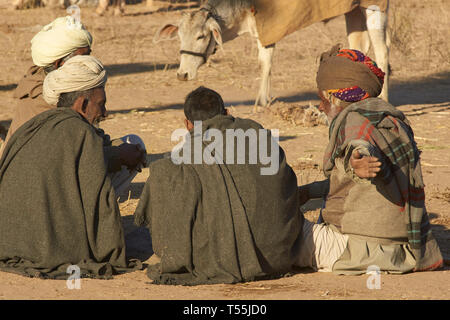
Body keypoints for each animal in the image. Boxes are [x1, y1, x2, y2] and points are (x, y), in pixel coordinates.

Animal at [155, 0, 390, 110]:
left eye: (201, 36)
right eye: (180, 36)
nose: (182, 74)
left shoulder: (268, 30)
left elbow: (264, 63)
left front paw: (261, 101)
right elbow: (266, 63)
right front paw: (265, 98)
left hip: (375, 8)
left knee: (382, 51)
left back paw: (383, 98)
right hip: (354, 10)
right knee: (359, 46)